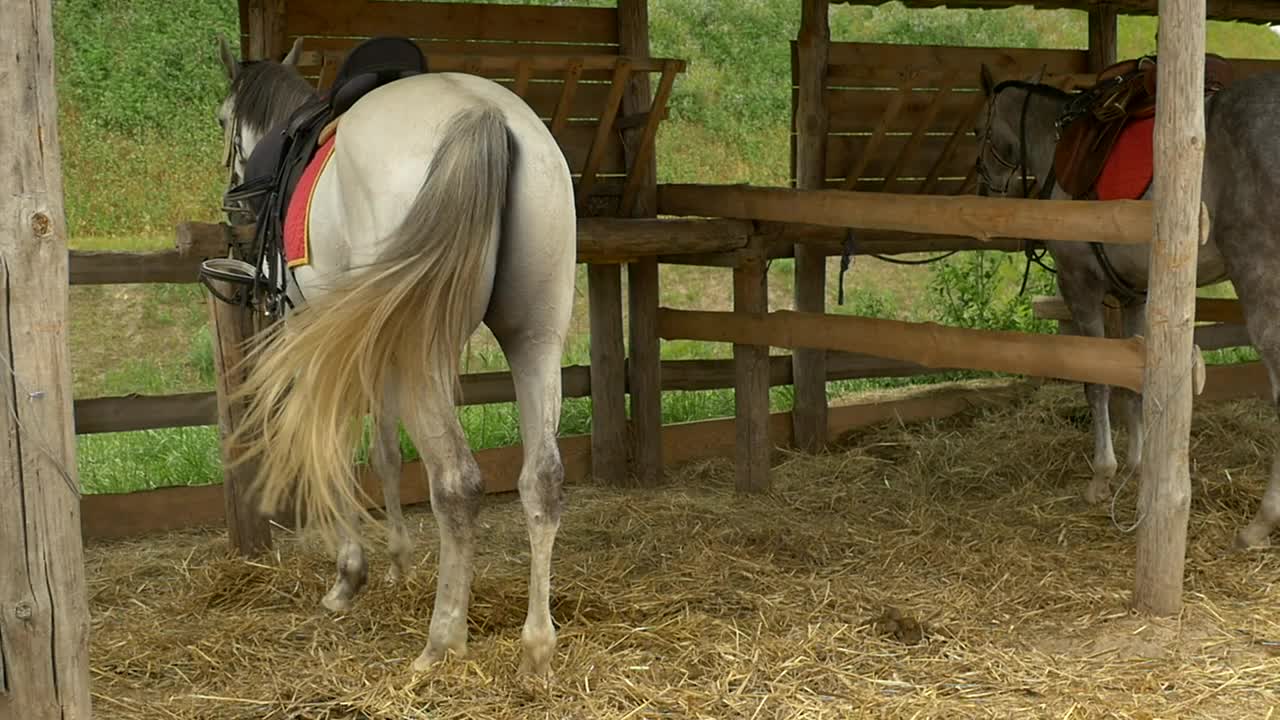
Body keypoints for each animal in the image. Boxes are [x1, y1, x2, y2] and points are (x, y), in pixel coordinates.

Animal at [213, 35, 578, 675]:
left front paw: (349, 574)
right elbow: (384, 450)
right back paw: (537, 645)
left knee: (457, 482)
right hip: (534, 337)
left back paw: (443, 638)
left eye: (220, 121)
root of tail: (483, 114)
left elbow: (330, 446)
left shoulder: (313, 339)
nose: (233, 210)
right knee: (542, 479)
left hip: (424, 350)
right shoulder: (372, 346)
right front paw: (399, 559)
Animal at [972, 62, 1280, 550]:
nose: (985, 189)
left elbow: (1096, 382)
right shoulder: (1139, 295)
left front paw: (1103, 475)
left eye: (978, 130)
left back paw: (1261, 522)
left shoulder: (1078, 284)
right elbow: (1134, 387)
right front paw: (1138, 466)